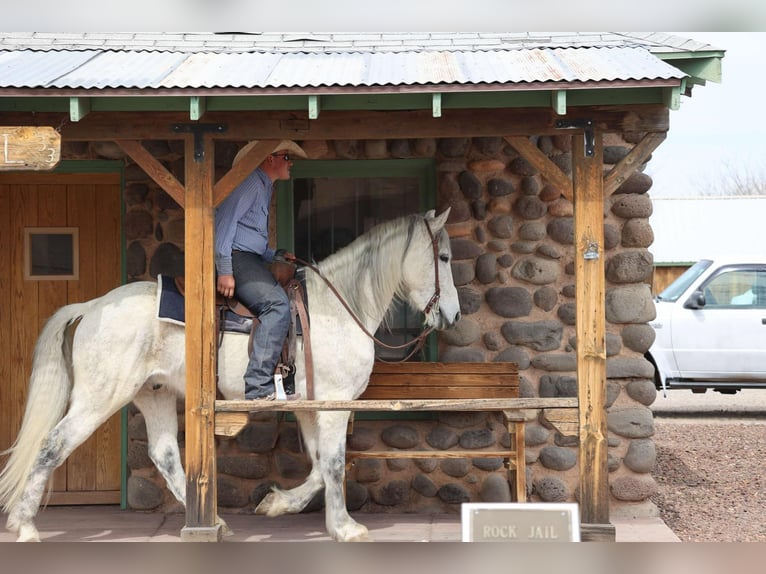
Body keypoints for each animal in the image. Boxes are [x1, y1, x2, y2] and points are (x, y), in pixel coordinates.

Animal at [0, 208, 460, 542]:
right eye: (443, 258)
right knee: (52, 445)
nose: (454, 315)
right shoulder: (334, 404)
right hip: (99, 398)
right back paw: (25, 526)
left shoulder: (310, 406)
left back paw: (215, 523)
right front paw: (345, 528)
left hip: (154, 393)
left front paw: (278, 505)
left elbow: (316, 467)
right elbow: (332, 464)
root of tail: (93, 305)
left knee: (164, 455)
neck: (337, 305)